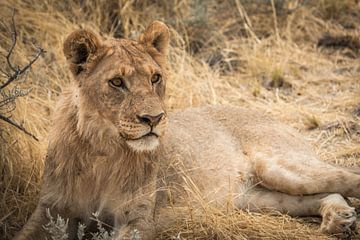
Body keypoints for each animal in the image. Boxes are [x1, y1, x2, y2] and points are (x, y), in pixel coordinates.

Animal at [14, 21, 360, 240]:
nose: (153, 118)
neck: (102, 152)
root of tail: (269, 115)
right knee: (323, 193)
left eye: (155, 78)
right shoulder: (49, 210)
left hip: (282, 166)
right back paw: (338, 219)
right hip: (256, 199)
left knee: (346, 179)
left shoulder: (138, 217)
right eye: (117, 82)